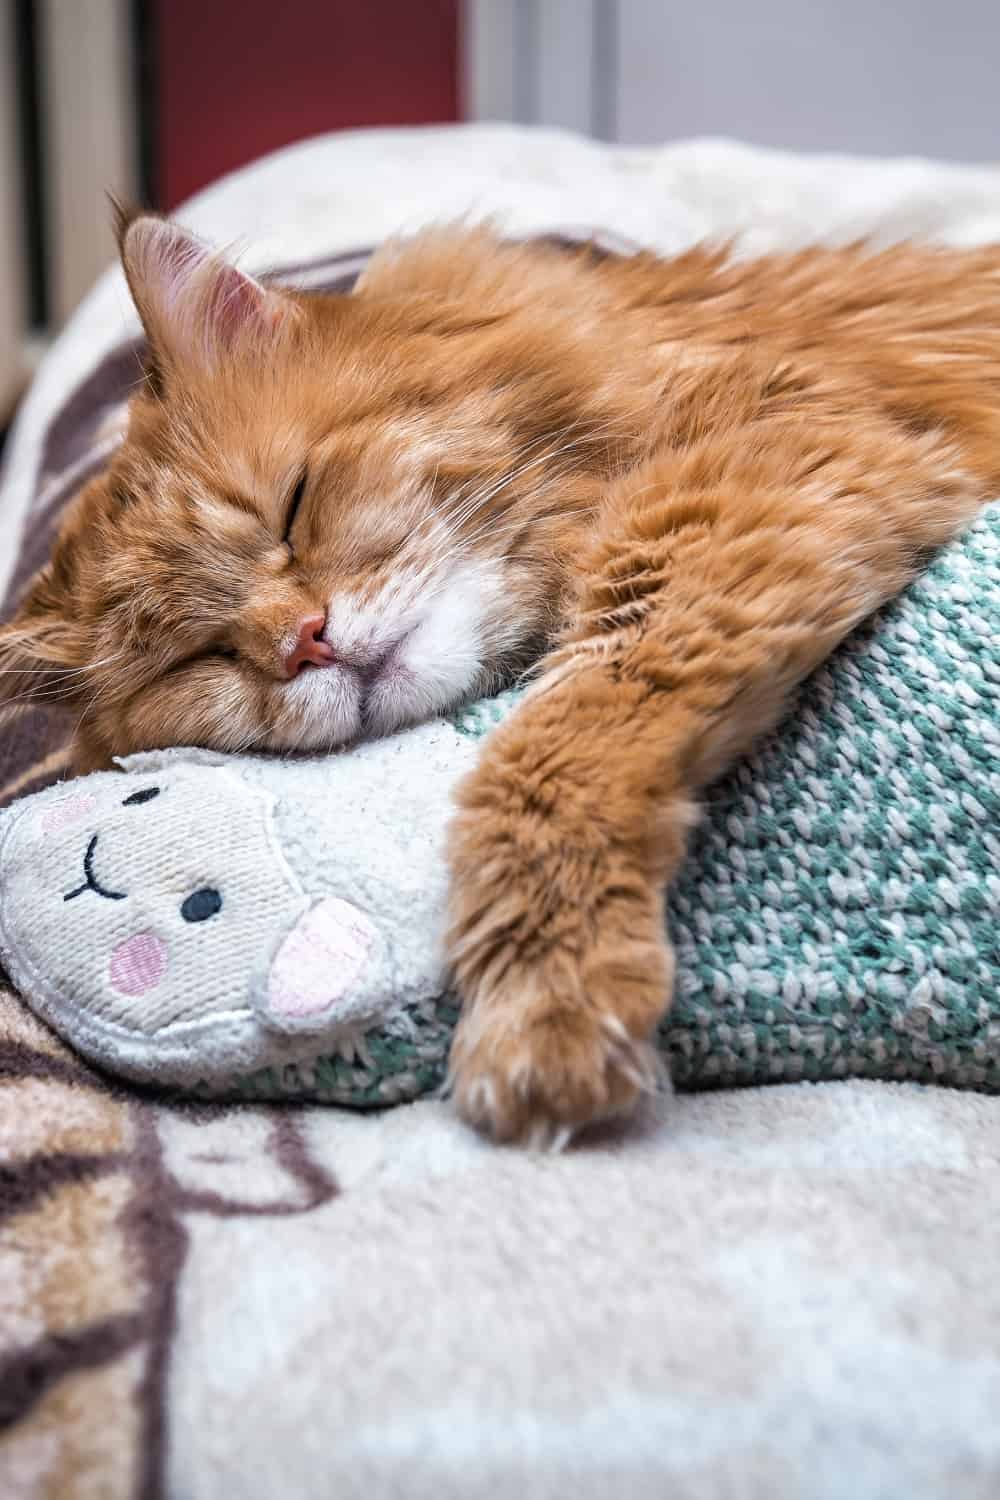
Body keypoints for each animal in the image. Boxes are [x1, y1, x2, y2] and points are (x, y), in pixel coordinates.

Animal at [1, 211, 1000, 1140]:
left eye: (293, 505)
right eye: (199, 656)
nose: (305, 643)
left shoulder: (765, 471)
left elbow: (552, 756)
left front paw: (544, 998)